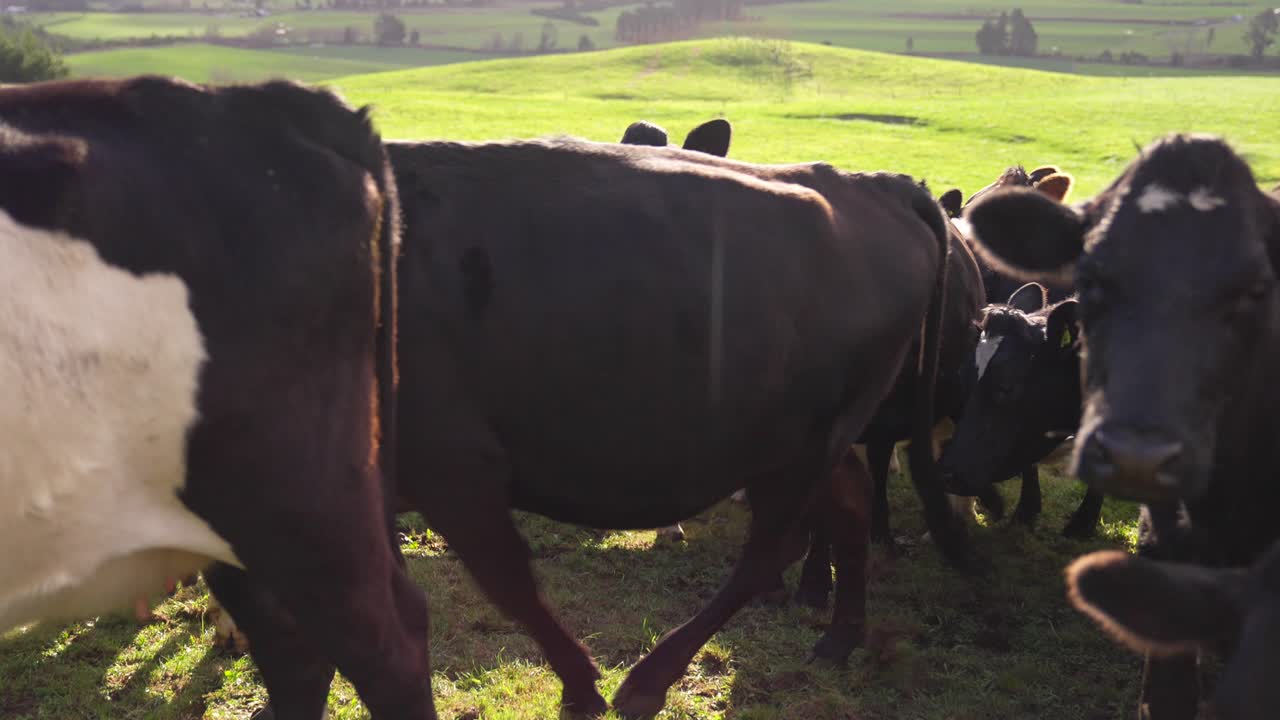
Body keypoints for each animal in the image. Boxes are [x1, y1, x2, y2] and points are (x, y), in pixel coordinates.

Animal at [386, 136, 959, 717]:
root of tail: (883, 185)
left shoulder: (454, 469)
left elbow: (502, 585)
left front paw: (583, 690)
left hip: (802, 450)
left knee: (772, 548)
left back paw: (648, 681)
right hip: (818, 441)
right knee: (848, 507)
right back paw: (838, 641)